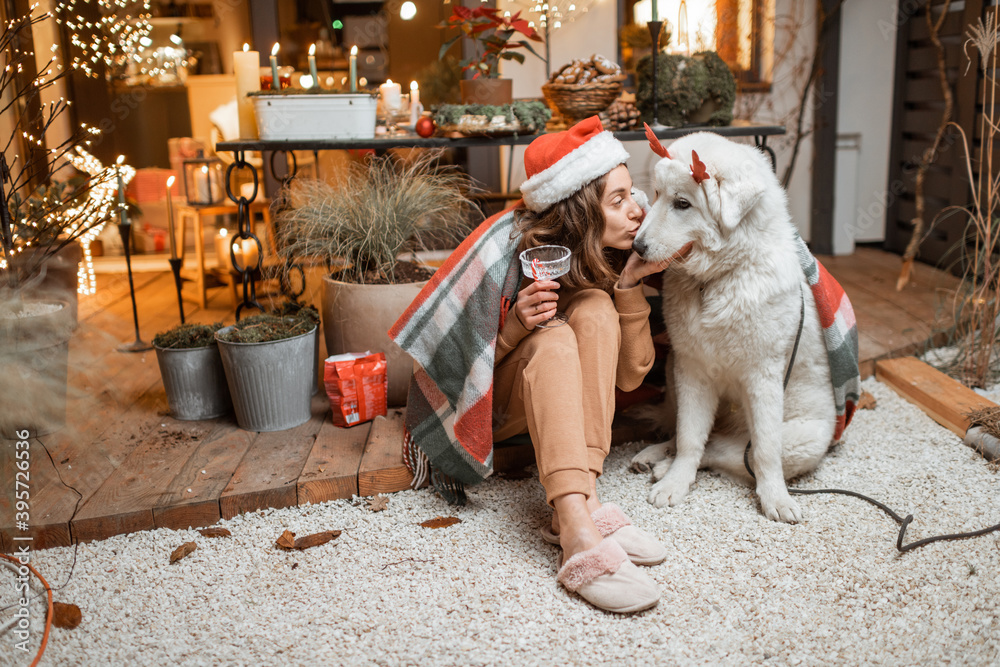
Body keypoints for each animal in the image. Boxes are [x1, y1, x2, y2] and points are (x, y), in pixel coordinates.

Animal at [632, 133, 860, 524]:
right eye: (657, 195)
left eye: (682, 203)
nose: (637, 246)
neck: (720, 278)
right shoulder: (692, 370)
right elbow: (689, 436)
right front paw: (676, 481)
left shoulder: (763, 378)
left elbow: (765, 451)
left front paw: (775, 499)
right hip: (673, 371)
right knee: (688, 437)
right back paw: (655, 458)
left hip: (805, 440)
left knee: (732, 451)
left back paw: (662, 466)